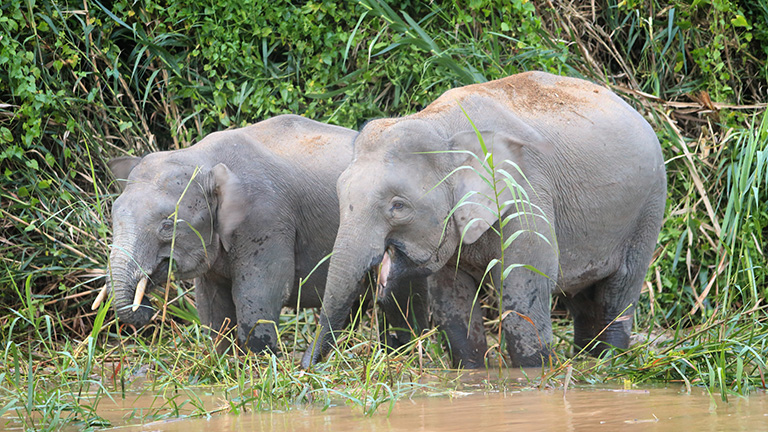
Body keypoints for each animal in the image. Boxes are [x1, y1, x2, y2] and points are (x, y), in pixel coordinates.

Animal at [94, 115, 420, 354]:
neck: (204, 158)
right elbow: (212, 307)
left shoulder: (266, 217)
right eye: (114, 215)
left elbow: (261, 291)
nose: (148, 308)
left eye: (167, 224)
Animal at [304, 71, 668, 368]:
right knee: (583, 299)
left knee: (618, 291)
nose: (306, 365)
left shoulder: (525, 192)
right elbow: (452, 298)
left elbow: (524, 287)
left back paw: (608, 362)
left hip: (649, 207)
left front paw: (535, 377)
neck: (440, 124)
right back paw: (589, 360)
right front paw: (472, 374)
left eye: (398, 206)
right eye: (339, 193)